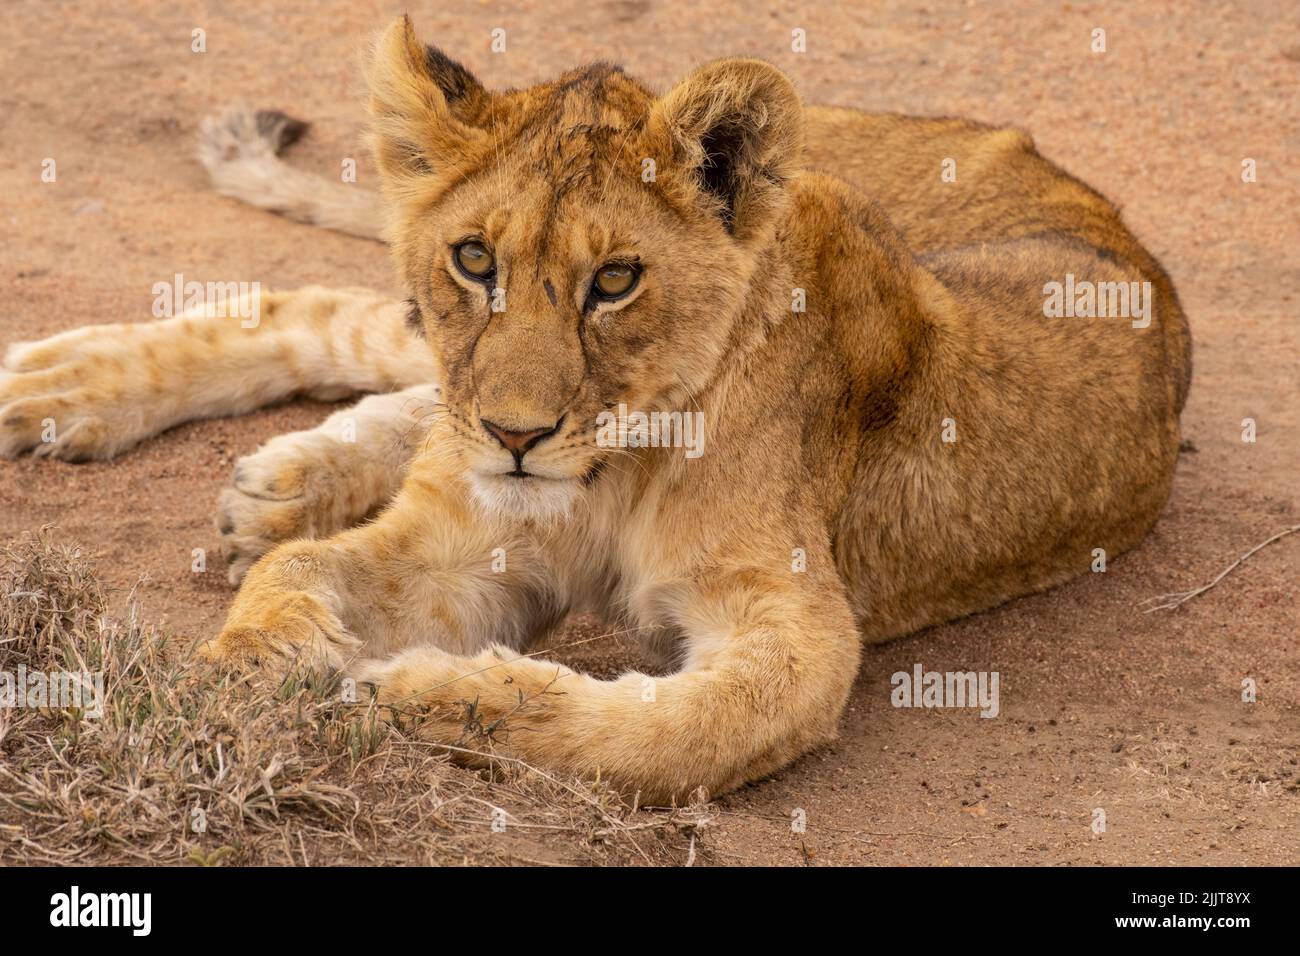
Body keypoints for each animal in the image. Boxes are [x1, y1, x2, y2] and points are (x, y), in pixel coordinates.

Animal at [0, 16, 1190, 803]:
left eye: (615, 281)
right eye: (474, 259)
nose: (518, 437)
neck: (618, 462)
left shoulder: (800, 624)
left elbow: (676, 734)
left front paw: (417, 691)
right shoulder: (459, 536)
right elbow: (292, 579)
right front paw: (254, 672)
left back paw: (279, 475)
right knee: (348, 326)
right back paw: (69, 394)